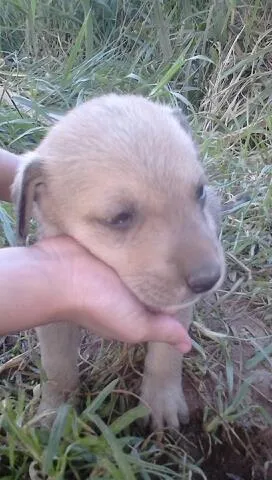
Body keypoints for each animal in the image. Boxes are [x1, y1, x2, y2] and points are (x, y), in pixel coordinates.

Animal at [11, 94, 225, 428]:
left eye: (199, 192)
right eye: (120, 218)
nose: (209, 279)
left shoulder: (175, 309)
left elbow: (165, 355)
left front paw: (162, 400)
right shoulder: (55, 321)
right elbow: (58, 370)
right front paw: (53, 414)